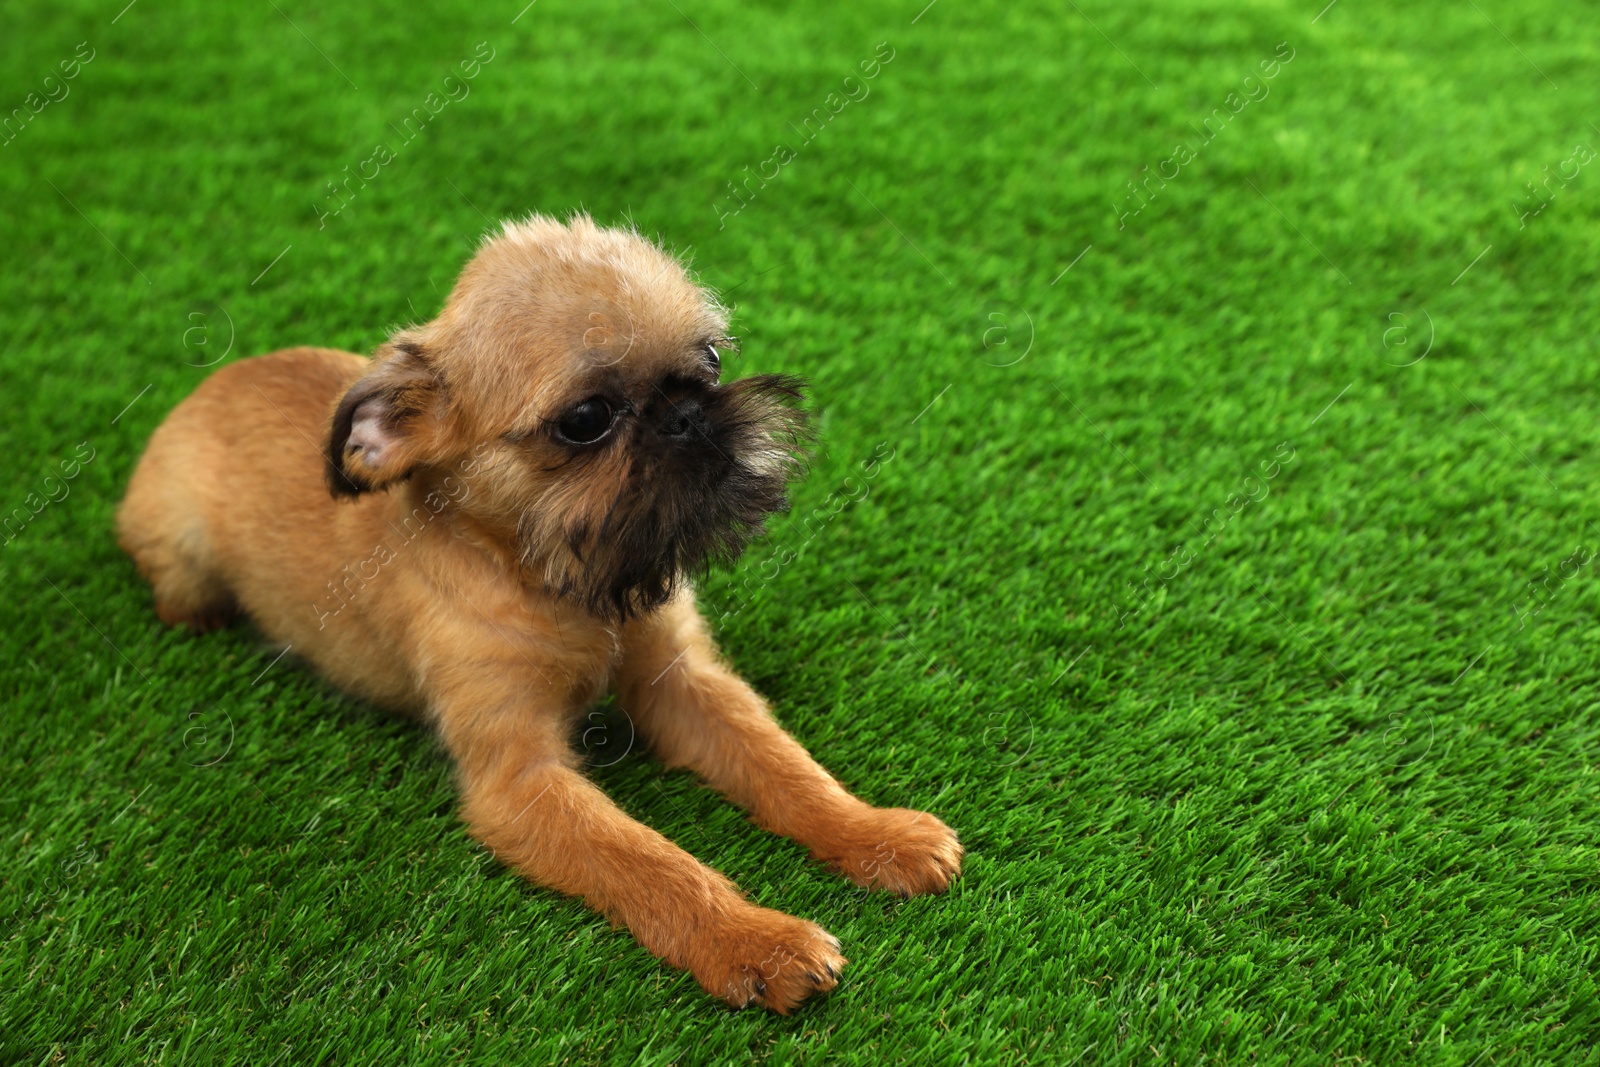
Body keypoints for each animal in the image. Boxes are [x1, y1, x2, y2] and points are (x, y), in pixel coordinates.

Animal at [118, 212, 960, 1017]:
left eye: (713, 359)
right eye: (586, 418)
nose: (688, 412)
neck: (558, 582)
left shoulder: (683, 683)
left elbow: (784, 765)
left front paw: (876, 833)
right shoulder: (522, 782)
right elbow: (649, 861)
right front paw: (755, 941)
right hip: (181, 551)